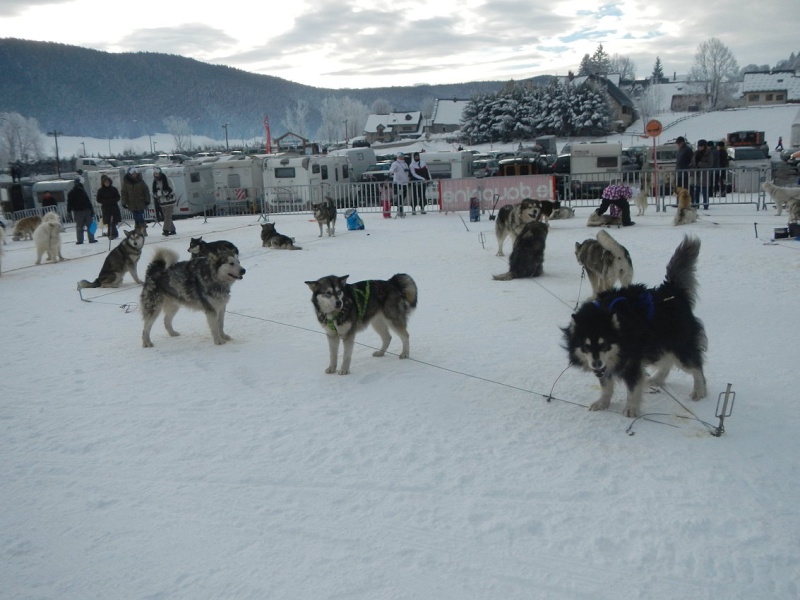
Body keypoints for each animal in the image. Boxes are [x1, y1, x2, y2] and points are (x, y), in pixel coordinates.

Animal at [564, 234, 708, 418]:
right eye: (586, 347)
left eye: (604, 344)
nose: (596, 364)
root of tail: (672, 290)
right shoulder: (607, 364)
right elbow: (605, 384)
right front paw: (603, 402)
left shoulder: (632, 361)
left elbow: (632, 389)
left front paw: (631, 408)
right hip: (658, 343)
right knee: (668, 360)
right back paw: (658, 379)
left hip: (679, 345)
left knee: (696, 366)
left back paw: (699, 390)